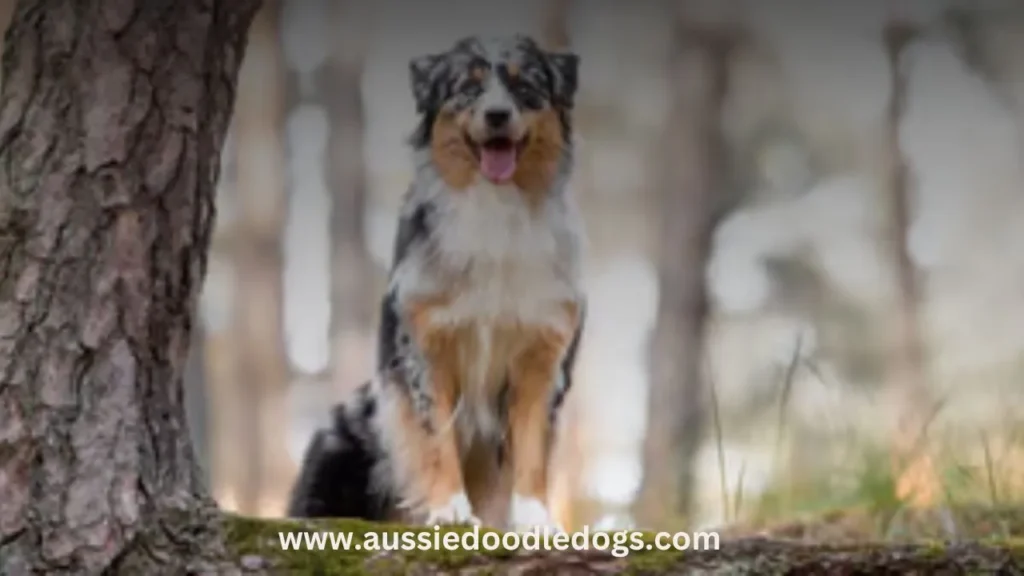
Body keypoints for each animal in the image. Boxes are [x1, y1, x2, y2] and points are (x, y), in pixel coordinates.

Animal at [288, 33, 585, 532]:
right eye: (467, 87)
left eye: (526, 86)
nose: (497, 114)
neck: (494, 208)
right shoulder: (424, 350)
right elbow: (435, 438)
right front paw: (449, 510)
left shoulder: (543, 357)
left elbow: (532, 445)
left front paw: (535, 517)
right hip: (340, 435)